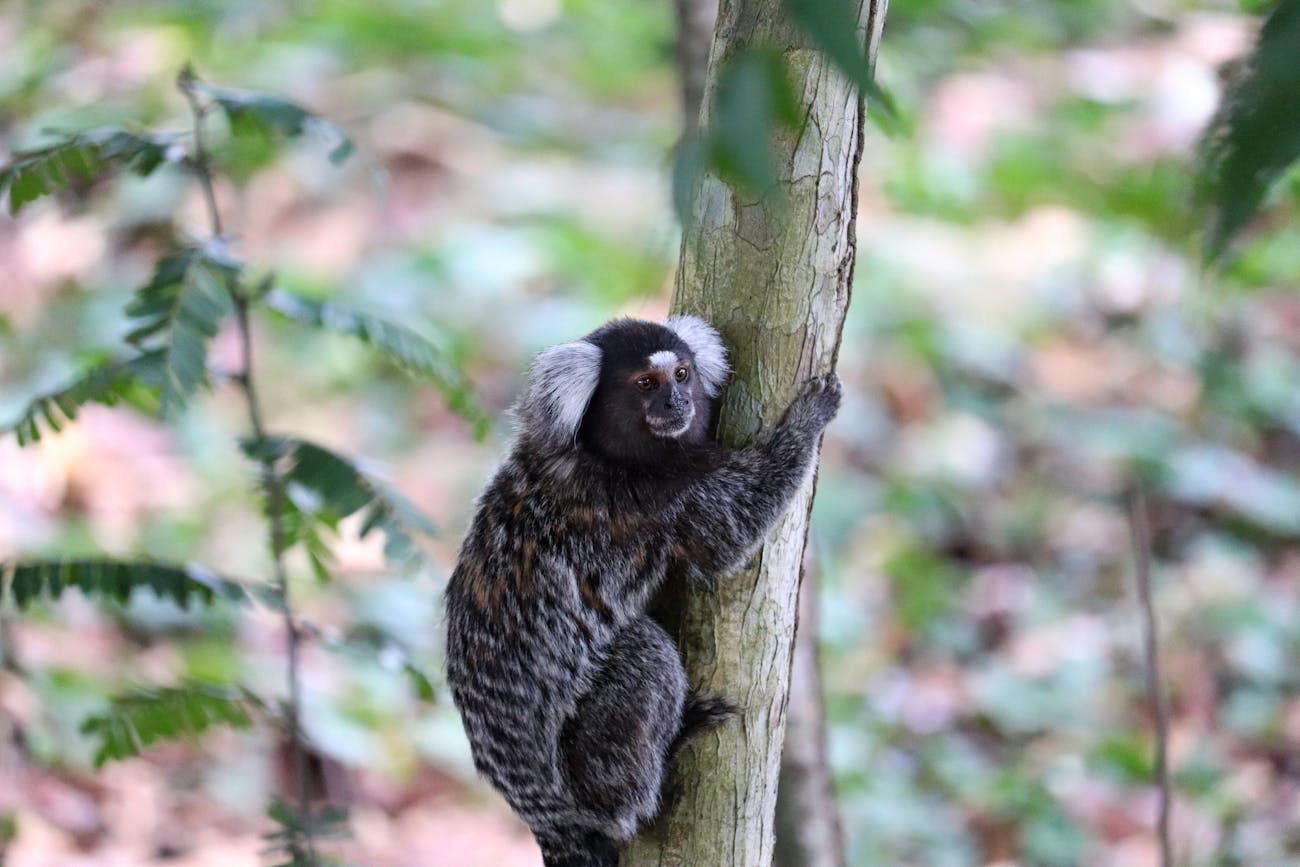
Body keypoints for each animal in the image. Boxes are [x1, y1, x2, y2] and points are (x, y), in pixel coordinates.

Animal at [447, 315, 842, 863]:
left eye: (681, 374)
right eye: (646, 384)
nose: (677, 402)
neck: (609, 455)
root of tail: (546, 820)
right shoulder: (669, 496)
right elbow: (731, 537)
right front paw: (807, 421)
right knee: (644, 655)